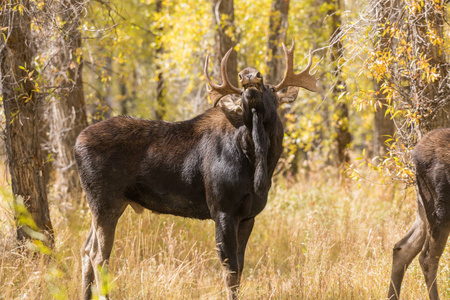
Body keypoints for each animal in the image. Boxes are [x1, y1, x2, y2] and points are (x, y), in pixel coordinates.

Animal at [76, 41, 316, 298]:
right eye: (241, 94)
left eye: (271, 89)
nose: (249, 75)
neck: (258, 162)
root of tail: (76, 143)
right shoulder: (222, 210)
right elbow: (230, 272)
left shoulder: (249, 216)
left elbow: (240, 269)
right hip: (105, 202)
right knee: (99, 255)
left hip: (109, 204)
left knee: (86, 250)